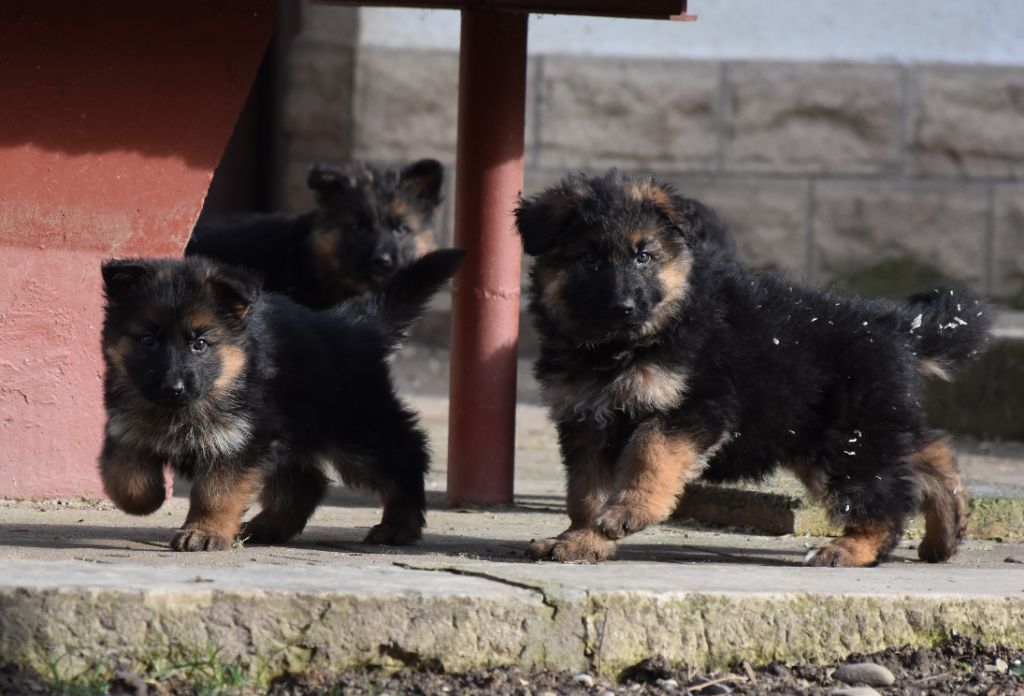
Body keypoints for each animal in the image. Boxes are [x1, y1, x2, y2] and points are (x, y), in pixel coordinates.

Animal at [97, 248, 462, 548]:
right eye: (148, 340)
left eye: (199, 344)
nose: (172, 388)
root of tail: (353, 326)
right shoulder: (126, 428)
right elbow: (124, 476)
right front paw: (148, 499)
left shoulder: (243, 441)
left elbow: (216, 492)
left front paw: (204, 532)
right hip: (293, 436)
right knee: (307, 483)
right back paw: (269, 526)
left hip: (357, 433)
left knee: (406, 457)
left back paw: (399, 525)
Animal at [516, 172, 987, 564]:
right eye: (589, 259)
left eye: (643, 256)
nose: (623, 306)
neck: (621, 347)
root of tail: (892, 324)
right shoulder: (586, 421)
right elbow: (585, 493)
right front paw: (580, 541)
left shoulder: (694, 405)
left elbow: (649, 452)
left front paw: (627, 512)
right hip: (835, 433)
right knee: (927, 452)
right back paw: (948, 528)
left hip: (848, 439)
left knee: (885, 498)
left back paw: (850, 548)